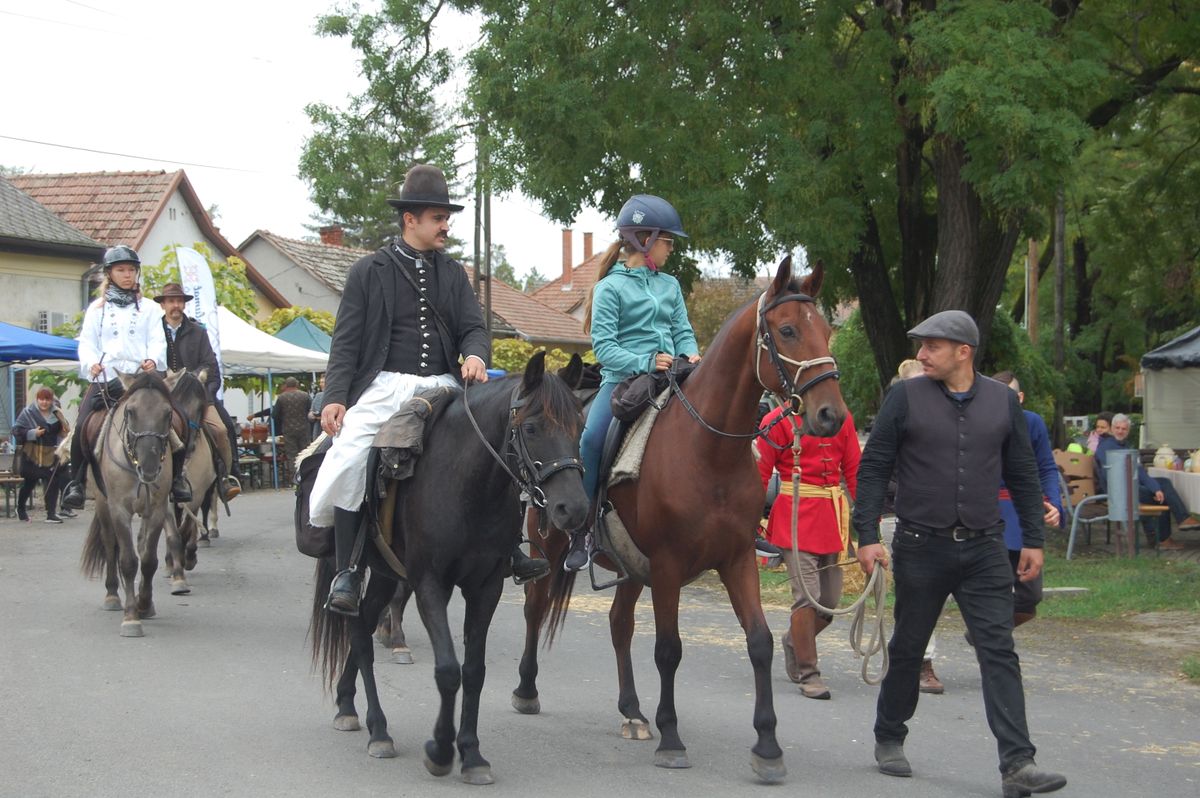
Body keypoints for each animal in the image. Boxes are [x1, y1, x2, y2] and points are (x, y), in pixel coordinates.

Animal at [81, 369, 189, 638]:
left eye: (168, 413)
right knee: (110, 545)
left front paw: (145, 604)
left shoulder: (157, 510)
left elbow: (148, 560)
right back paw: (111, 596)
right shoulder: (119, 510)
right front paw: (131, 618)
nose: (149, 468)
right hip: (103, 505)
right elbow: (128, 561)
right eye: (130, 411)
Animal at [304, 352, 590, 782]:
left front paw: (471, 754)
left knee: (365, 627)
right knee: (358, 633)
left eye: (580, 426)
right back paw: (379, 730)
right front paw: (440, 750)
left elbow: (473, 671)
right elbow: (448, 670)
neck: (468, 486)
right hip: (358, 569)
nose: (572, 509)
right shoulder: (430, 585)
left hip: (386, 575)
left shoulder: (485, 589)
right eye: (532, 427)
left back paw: (348, 705)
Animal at [511, 258, 849, 782]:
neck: (710, 452)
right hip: (549, 546)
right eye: (788, 330)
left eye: (828, 332)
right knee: (535, 606)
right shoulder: (669, 566)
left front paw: (767, 746)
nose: (831, 414)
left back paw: (632, 711)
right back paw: (527, 690)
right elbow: (669, 649)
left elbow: (760, 642)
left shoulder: (737, 559)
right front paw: (672, 739)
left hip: (630, 567)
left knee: (619, 624)